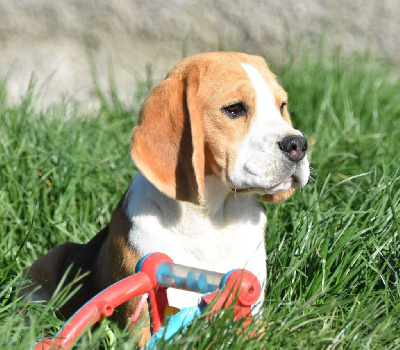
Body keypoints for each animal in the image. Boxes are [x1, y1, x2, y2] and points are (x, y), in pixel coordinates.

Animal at [25, 52, 310, 342]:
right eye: (234, 109)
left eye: (281, 106)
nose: (298, 145)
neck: (214, 217)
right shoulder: (140, 320)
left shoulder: (253, 313)